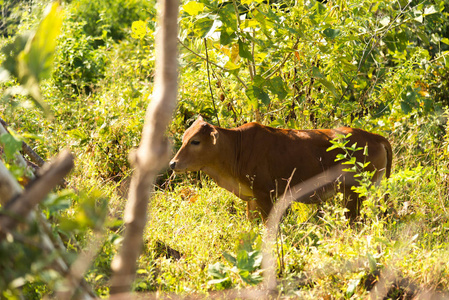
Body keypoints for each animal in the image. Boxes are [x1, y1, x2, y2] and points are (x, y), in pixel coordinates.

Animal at [170, 116, 390, 221]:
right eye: (184, 138)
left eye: (195, 141)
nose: (173, 163)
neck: (235, 148)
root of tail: (373, 136)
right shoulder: (252, 198)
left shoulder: (265, 195)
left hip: (355, 192)